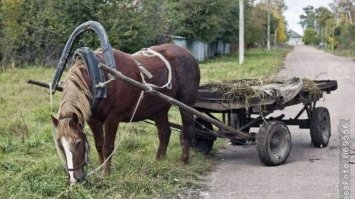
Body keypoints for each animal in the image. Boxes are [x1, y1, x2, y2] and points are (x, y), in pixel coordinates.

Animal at [50, 44, 200, 185]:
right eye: (60, 145)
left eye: (78, 142)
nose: (74, 180)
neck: (98, 79)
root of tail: (188, 53)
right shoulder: (93, 120)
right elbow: (99, 145)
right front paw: (101, 168)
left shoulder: (112, 119)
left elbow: (107, 147)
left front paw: (106, 173)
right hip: (159, 109)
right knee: (164, 132)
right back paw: (159, 160)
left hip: (186, 103)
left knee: (187, 130)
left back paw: (183, 160)